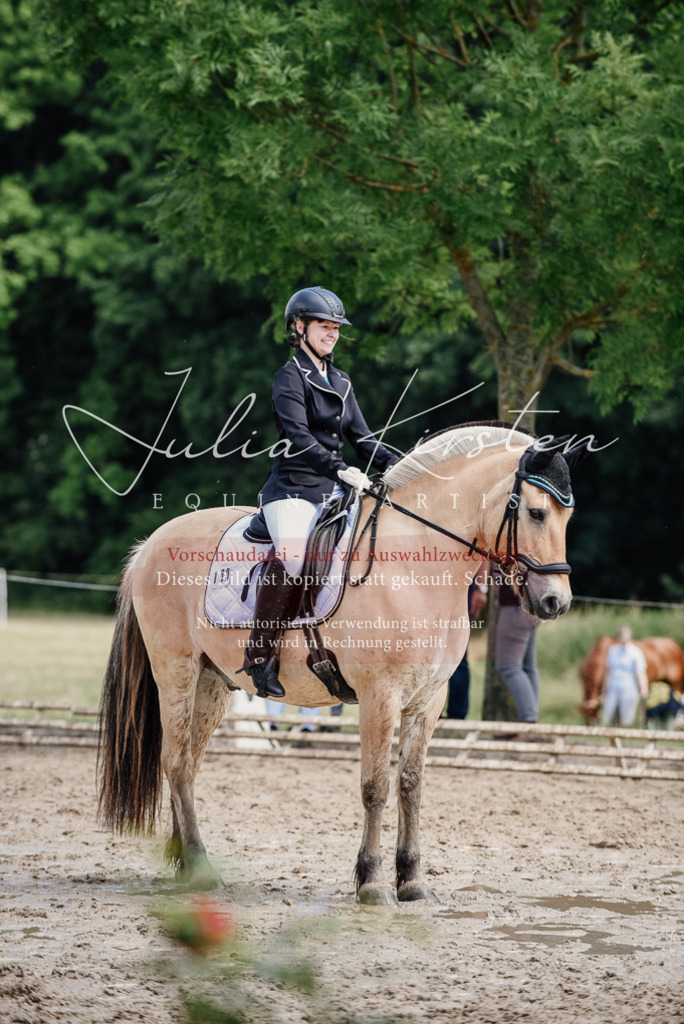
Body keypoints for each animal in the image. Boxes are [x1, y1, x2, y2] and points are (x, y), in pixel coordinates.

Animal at [99, 423, 585, 904]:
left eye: (568, 518)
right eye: (537, 513)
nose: (555, 603)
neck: (417, 568)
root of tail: (151, 543)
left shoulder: (428, 700)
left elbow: (411, 785)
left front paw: (412, 881)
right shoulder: (379, 696)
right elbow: (375, 787)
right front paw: (372, 882)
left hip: (211, 682)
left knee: (187, 765)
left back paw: (186, 866)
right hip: (176, 672)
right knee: (177, 763)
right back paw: (202, 870)